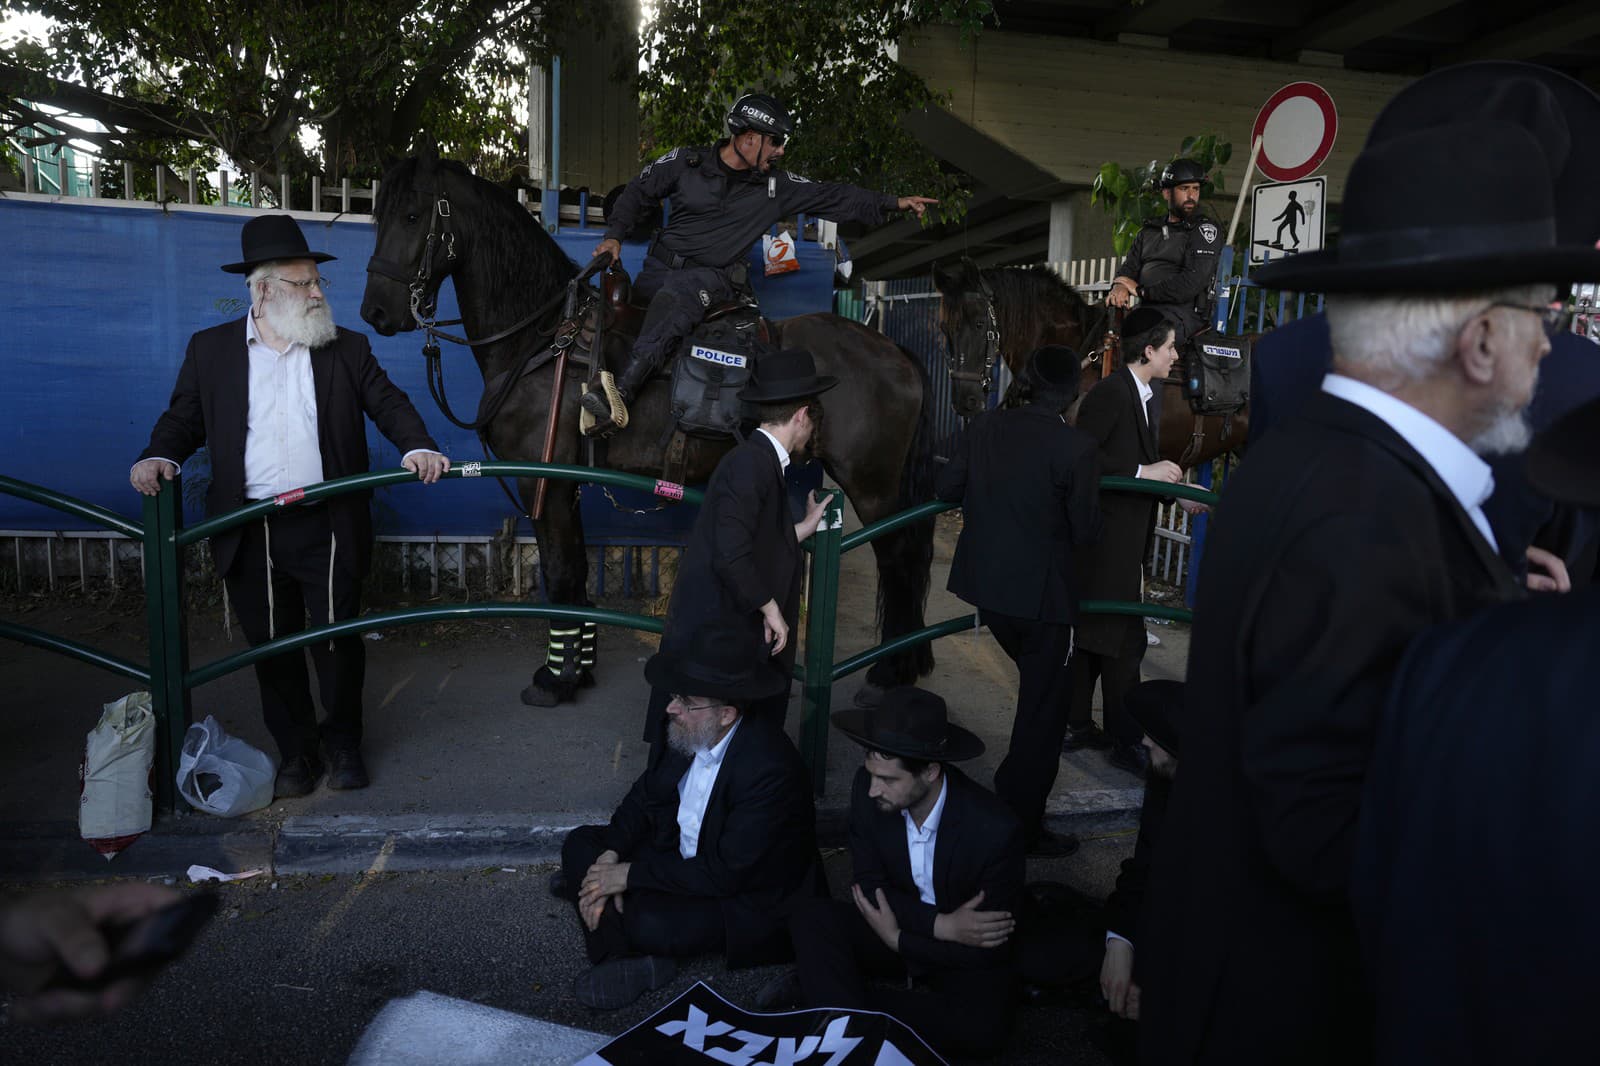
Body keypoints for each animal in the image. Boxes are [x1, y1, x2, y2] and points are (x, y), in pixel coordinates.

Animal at [363, 151, 934, 704]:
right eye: (380, 216)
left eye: (411, 216)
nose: (375, 311)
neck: (544, 339)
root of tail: (896, 352)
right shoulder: (568, 483)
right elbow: (575, 572)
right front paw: (579, 668)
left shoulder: (545, 481)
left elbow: (562, 574)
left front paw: (556, 680)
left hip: (872, 483)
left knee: (899, 556)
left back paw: (892, 669)